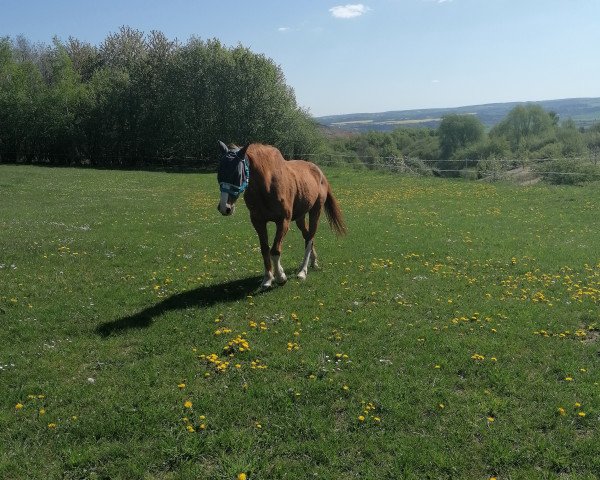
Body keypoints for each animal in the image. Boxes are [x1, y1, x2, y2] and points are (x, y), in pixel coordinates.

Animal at [218, 141, 344, 286]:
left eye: (237, 173)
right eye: (219, 172)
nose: (224, 208)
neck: (267, 185)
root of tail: (320, 173)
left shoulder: (283, 221)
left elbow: (275, 251)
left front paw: (280, 277)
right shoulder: (258, 222)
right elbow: (265, 249)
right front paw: (268, 278)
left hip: (315, 211)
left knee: (310, 238)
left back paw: (302, 271)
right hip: (300, 217)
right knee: (308, 236)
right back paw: (314, 262)